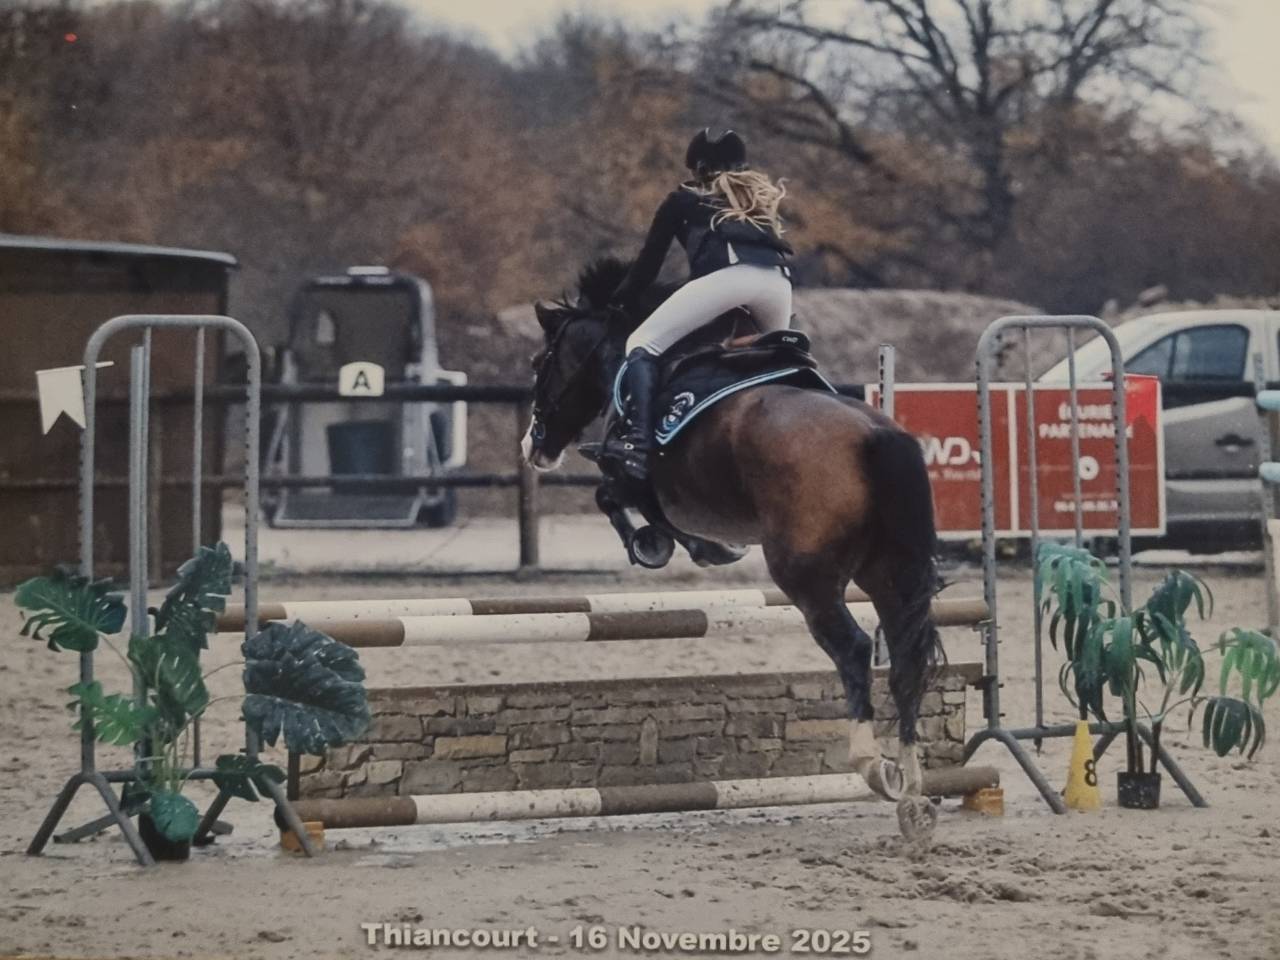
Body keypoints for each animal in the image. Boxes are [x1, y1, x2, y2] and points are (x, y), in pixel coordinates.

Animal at [521, 257, 945, 838]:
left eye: (541, 362)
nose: (532, 446)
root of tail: (875, 436)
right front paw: (701, 549)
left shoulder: (641, 478)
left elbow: (614, 495)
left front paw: (666, 545)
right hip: (887, 572)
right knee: (904, 657)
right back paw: (912, 789)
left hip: (805, 575)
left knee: (855, 648)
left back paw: (870, 765)